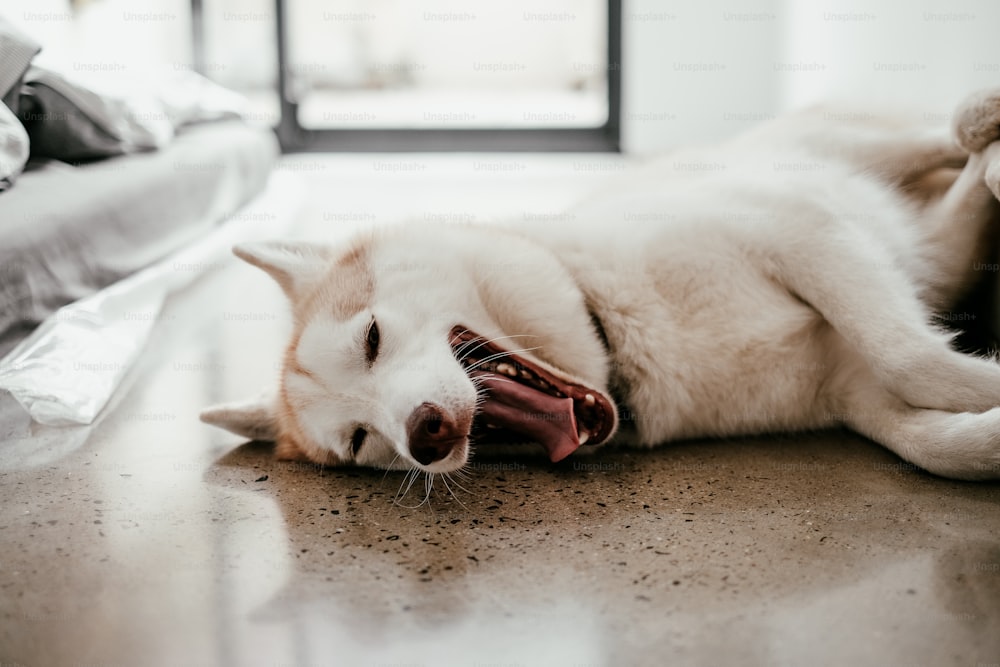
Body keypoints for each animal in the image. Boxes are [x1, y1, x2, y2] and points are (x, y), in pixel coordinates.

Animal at [203, 91, 1000, 482]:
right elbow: (939, 444)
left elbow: (909, 356)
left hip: (856, 153)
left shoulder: (800, 227)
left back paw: (983, 120)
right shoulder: (850, 389)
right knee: (960, 195)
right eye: (362, 439)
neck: (615, 328)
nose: (426, 434)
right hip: (938, 245)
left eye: (371, 338)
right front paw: (984, 424)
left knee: (943, 136)